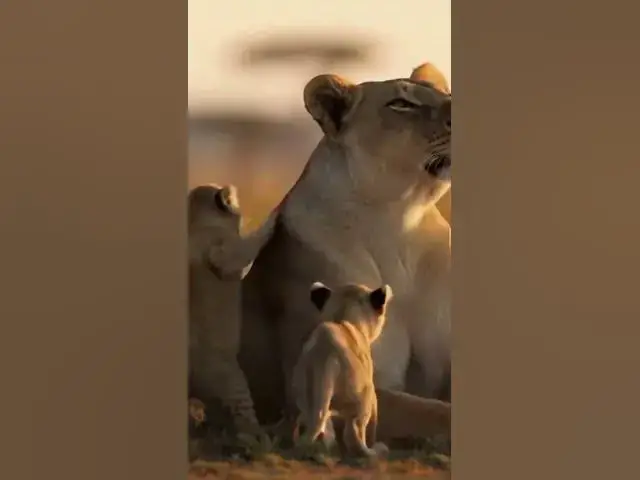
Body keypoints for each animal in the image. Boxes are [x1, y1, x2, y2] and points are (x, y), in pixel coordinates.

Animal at [188, 183, 276, 440]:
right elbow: (247, 247)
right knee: (243, 420)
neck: (195, 219)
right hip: (234, 382)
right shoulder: (224, 253)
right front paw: (273, 219)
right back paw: (261, 437)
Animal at [291, 281, 393, 457]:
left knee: (317, 421)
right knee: (354, 432)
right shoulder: (370, 390)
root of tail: (324, 352)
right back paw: (371, 451)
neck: (342, 317)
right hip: (361, 396)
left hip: (305, 394)